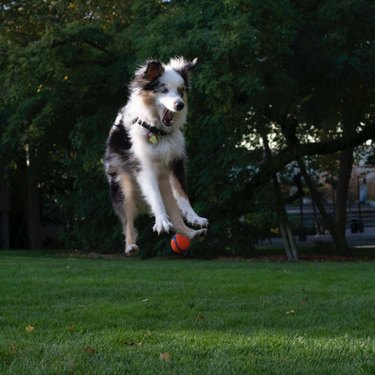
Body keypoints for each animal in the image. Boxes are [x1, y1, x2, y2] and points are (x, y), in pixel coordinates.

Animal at [104, 56, 209, 256]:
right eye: (164, 89)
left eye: (181, 90)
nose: (180, 105)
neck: (158, 132)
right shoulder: (145, 168)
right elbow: (154, 196)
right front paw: (161, 222)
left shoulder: (177, 163)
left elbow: (183, 196)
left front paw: (195, 218)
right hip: (123, 186)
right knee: (127, 220)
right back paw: (130, 246)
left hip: (166, 185)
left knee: (175, 212)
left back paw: (191, 233)